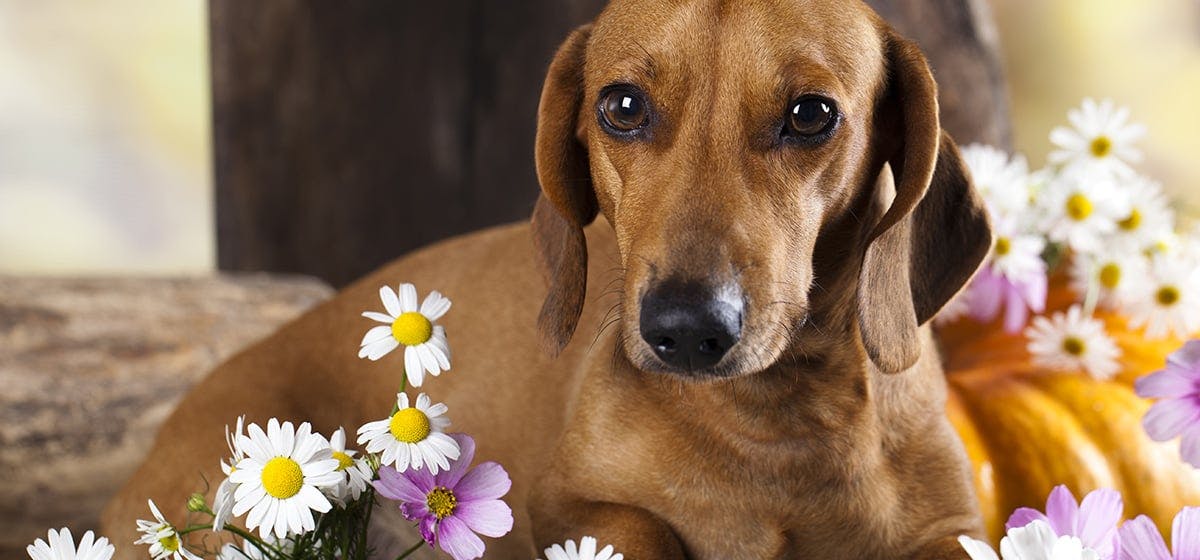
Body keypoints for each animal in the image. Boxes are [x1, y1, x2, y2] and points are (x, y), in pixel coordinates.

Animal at [103, 0, 988, 558]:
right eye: (622, 105)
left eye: (811, 114)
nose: (684, 330)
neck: (772, 425)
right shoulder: (566, 504)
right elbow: (640, 528)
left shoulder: (954, 532)